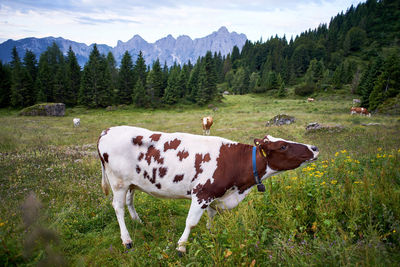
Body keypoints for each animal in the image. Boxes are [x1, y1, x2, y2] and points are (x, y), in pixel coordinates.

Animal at [97, 126, 318, 254]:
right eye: (282, 146)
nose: (314, 148)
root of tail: (107, 130)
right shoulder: (202, 194)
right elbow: (191, 222)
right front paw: (181, 247)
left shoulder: (215, 194)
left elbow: (211, 215)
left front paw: (211, 233)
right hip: (117, 182)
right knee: (118, 207)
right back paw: (127, 240)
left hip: (132, 182)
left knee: (129, 201)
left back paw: (138, 221)